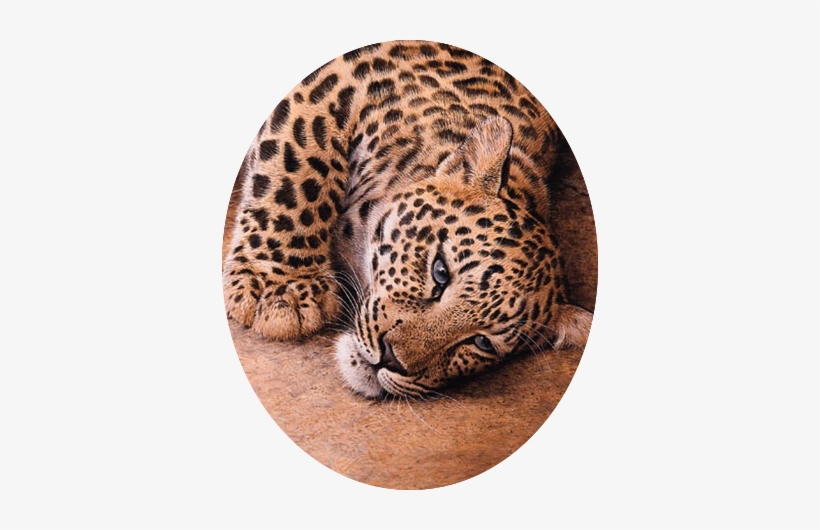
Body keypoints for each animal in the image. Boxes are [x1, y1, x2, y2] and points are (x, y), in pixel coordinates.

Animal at [223, 40, 593, 398]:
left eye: (482, 342)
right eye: (440, 272)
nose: (391, 358)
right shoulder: (333, 86)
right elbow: (299, 164)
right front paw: (281, 291)